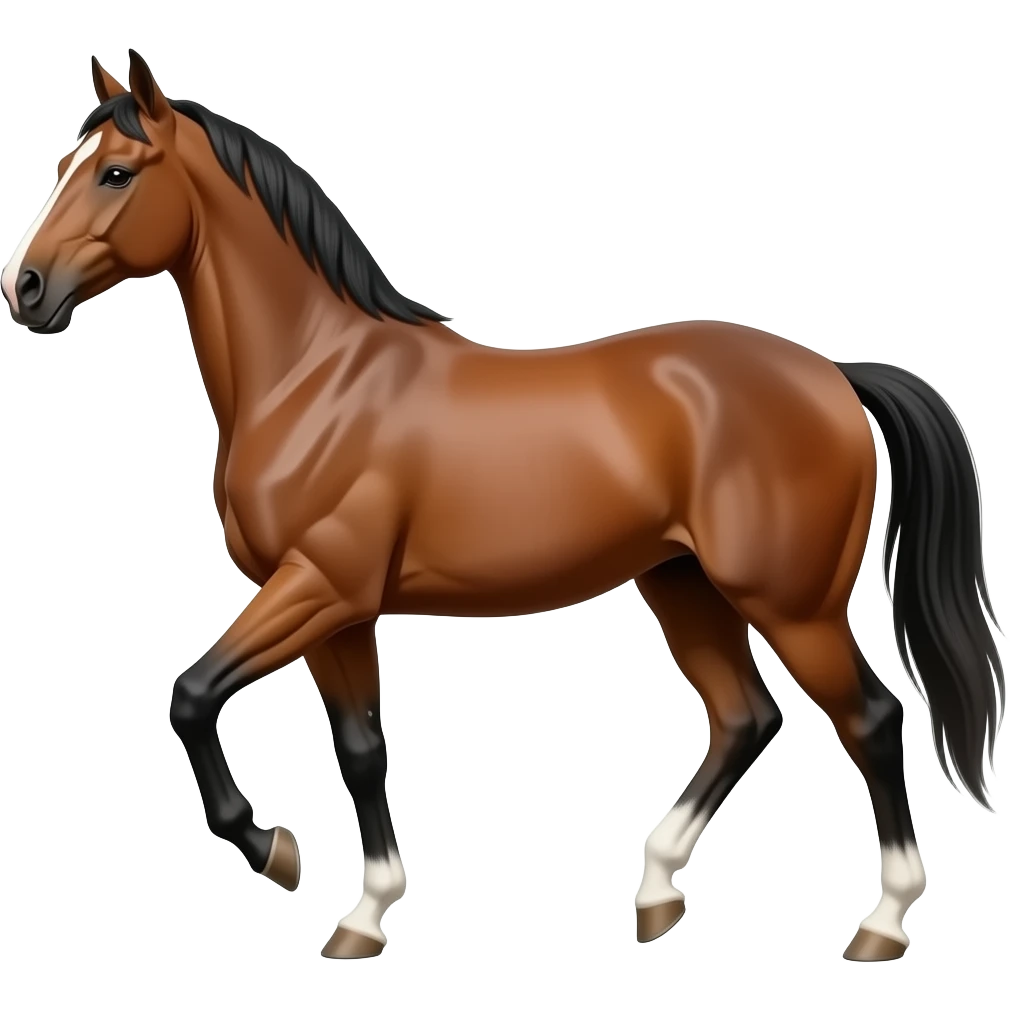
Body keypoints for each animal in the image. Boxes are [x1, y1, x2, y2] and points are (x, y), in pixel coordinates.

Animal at [3, 50, 1003, 963]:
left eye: (117, 172)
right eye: (69, 165)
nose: (27, 290)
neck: (315, 377)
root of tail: (832, 375)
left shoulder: (318, 585)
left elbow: (193, 695)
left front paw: (274, 849)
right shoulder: (339, 611)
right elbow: (361, 748)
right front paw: (364, 915)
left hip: (792, 605)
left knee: (868, 719)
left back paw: (880, 924)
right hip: (681, 585)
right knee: (746, 718)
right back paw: (654, 893)